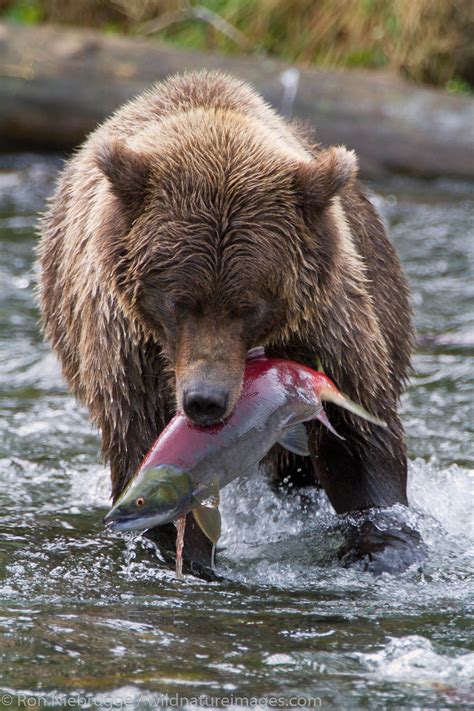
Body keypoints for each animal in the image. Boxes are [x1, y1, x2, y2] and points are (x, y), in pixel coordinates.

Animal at [37, 69, 422, 576]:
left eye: (250, 305)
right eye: (179, 301)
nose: (205, 400)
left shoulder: (325, 325)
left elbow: (358, 444)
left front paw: (383, 546)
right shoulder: (130, 350)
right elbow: (148, 453)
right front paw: (185, 557)